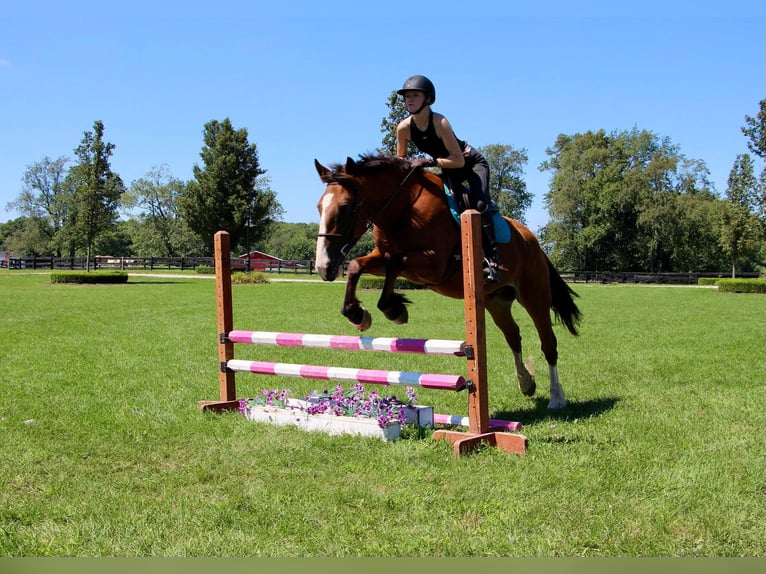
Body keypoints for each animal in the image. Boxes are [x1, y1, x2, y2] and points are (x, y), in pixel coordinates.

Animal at [312, 155, 584, 412]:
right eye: (319, 207)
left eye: (345, 207)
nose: (324, 267)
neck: (403, 208)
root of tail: (532, 239)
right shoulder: (382, 256)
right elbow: (358, 266)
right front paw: (358, 315)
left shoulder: (435, 264)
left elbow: (395, 264)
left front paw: (393, 309)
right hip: (496, 300)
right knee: (513, 335)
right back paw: (526, 383)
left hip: (534, 296)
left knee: (548, 342)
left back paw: (556, 398)